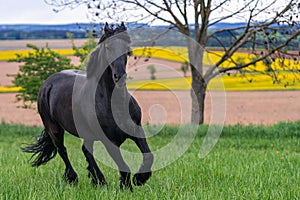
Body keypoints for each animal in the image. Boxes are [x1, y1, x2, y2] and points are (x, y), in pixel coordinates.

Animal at [21, 22, 152, 190]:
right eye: (108, 47)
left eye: (127, 49)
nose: (119, 77)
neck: (114, 103)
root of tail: (48, 83)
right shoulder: (109, 141)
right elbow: (124, 166)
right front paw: (128, 186)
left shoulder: (136, 130)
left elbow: (148, 156)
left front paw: (140, 178)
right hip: (54, 128)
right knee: (62, 150)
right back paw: (75, 178)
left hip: (85, 132)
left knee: (86, 150)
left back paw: (98, 180)